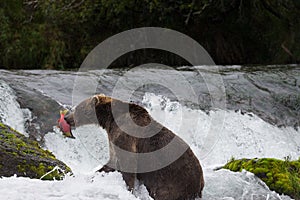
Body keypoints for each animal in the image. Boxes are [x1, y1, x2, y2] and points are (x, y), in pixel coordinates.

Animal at [63, 94, 204, 199]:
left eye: (78, 108)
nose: (66, 118)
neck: (110, 120)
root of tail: (200, 183)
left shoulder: (126, 136)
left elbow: (128, 164)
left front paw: (129, 189)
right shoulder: (113, 140)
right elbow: (112, 162)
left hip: (173, 181)